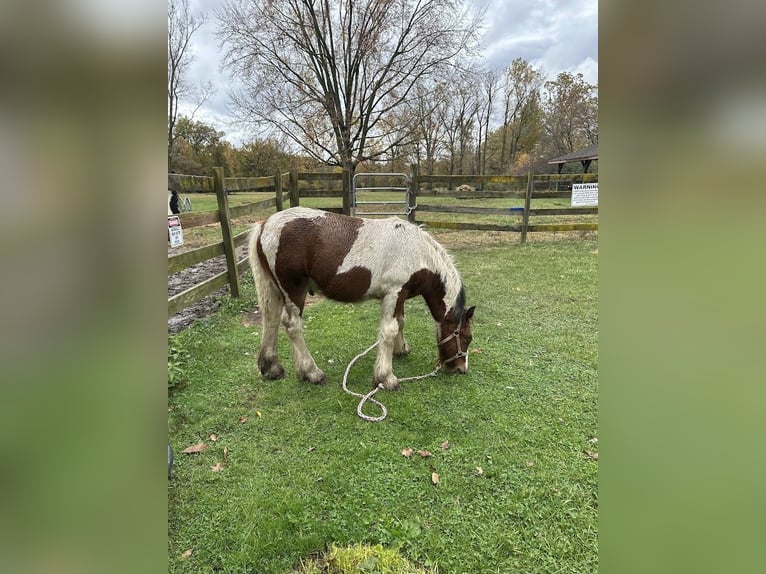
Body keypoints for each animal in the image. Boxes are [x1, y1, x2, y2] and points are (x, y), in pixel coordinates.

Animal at [248, 207, 475, 391]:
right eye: (467, 338)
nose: (461, 368)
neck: (416, 253)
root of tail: (266, 224)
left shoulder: (399, 296)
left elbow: (400, 322)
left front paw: (400, 350)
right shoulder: (394, 293)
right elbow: (389, 330)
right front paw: (386, 378)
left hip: (275, 289)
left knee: (271, 319)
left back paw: (272, 368)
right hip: (294, 289)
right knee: (292, 325)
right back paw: (312, 373)